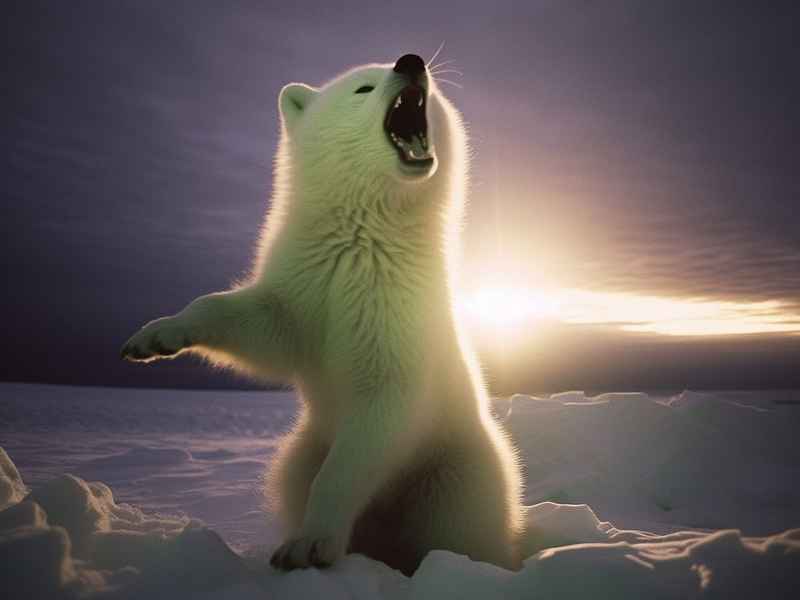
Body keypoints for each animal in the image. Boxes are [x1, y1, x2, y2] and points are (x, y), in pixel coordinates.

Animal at [121, 53, 524, 575]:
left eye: (432, 96)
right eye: (363, 87)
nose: (412, 62)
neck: (360, 239)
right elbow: (265, 327)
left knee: (462, 527)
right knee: (291, 476)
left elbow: (374, 421)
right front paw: (156, 336)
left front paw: (309, 544)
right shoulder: (310, 283)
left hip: (460, 474)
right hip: (300, 452)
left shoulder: (395, 311)